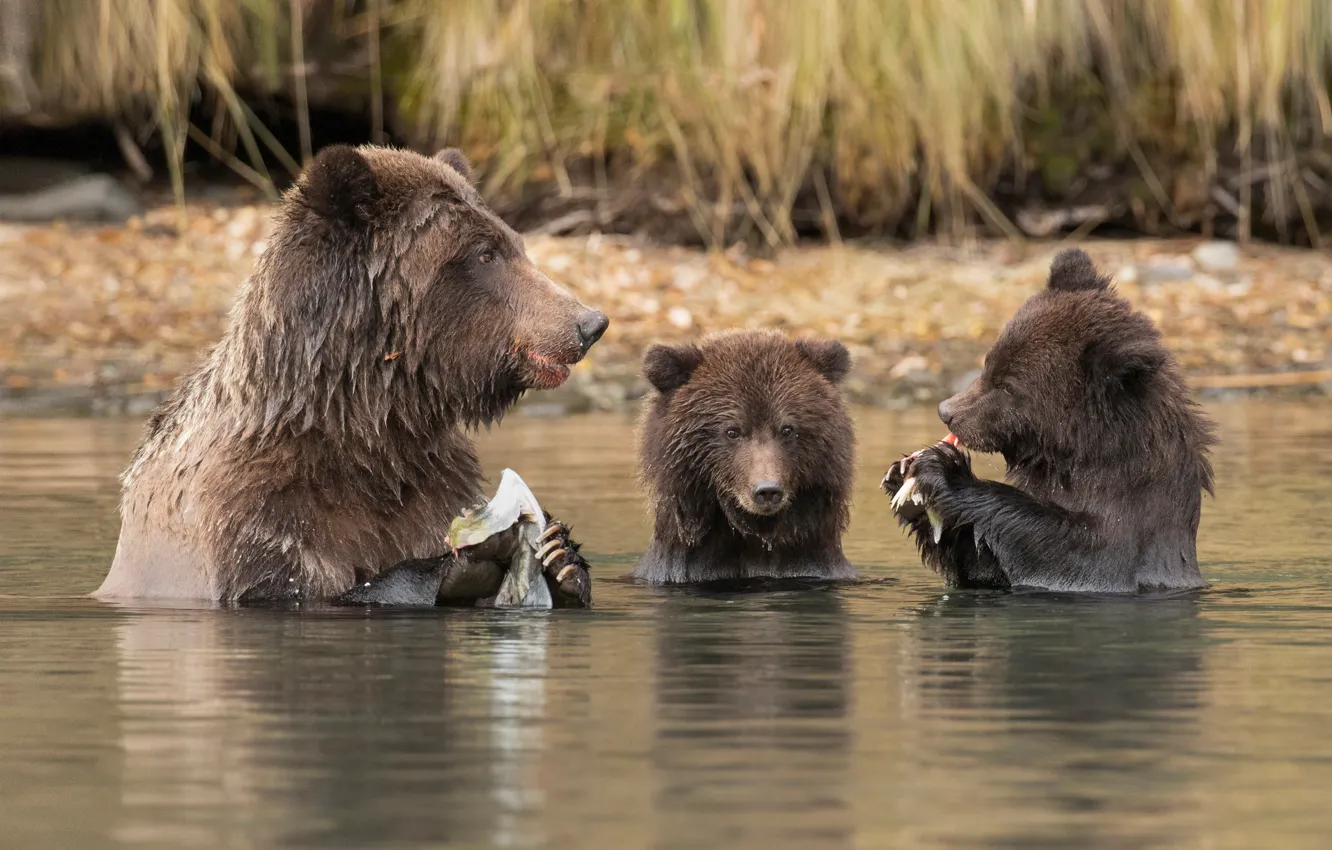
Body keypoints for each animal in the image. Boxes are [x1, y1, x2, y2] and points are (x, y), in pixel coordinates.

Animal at [94, 144, 608, 607]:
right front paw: (462, 560)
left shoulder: (431, 482)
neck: (363, 424)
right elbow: (297, 587)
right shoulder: (251, 516)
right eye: (485, 253)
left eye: (516, 244)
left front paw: (560, 555)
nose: (589, 323)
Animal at [883, 248, 1216, 593]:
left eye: (1008, 385)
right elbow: (981, 564)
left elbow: (1067, 549)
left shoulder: (1123, 537)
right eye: (989, 364)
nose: (947, 411)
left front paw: (944, 470)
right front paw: (903, 479)